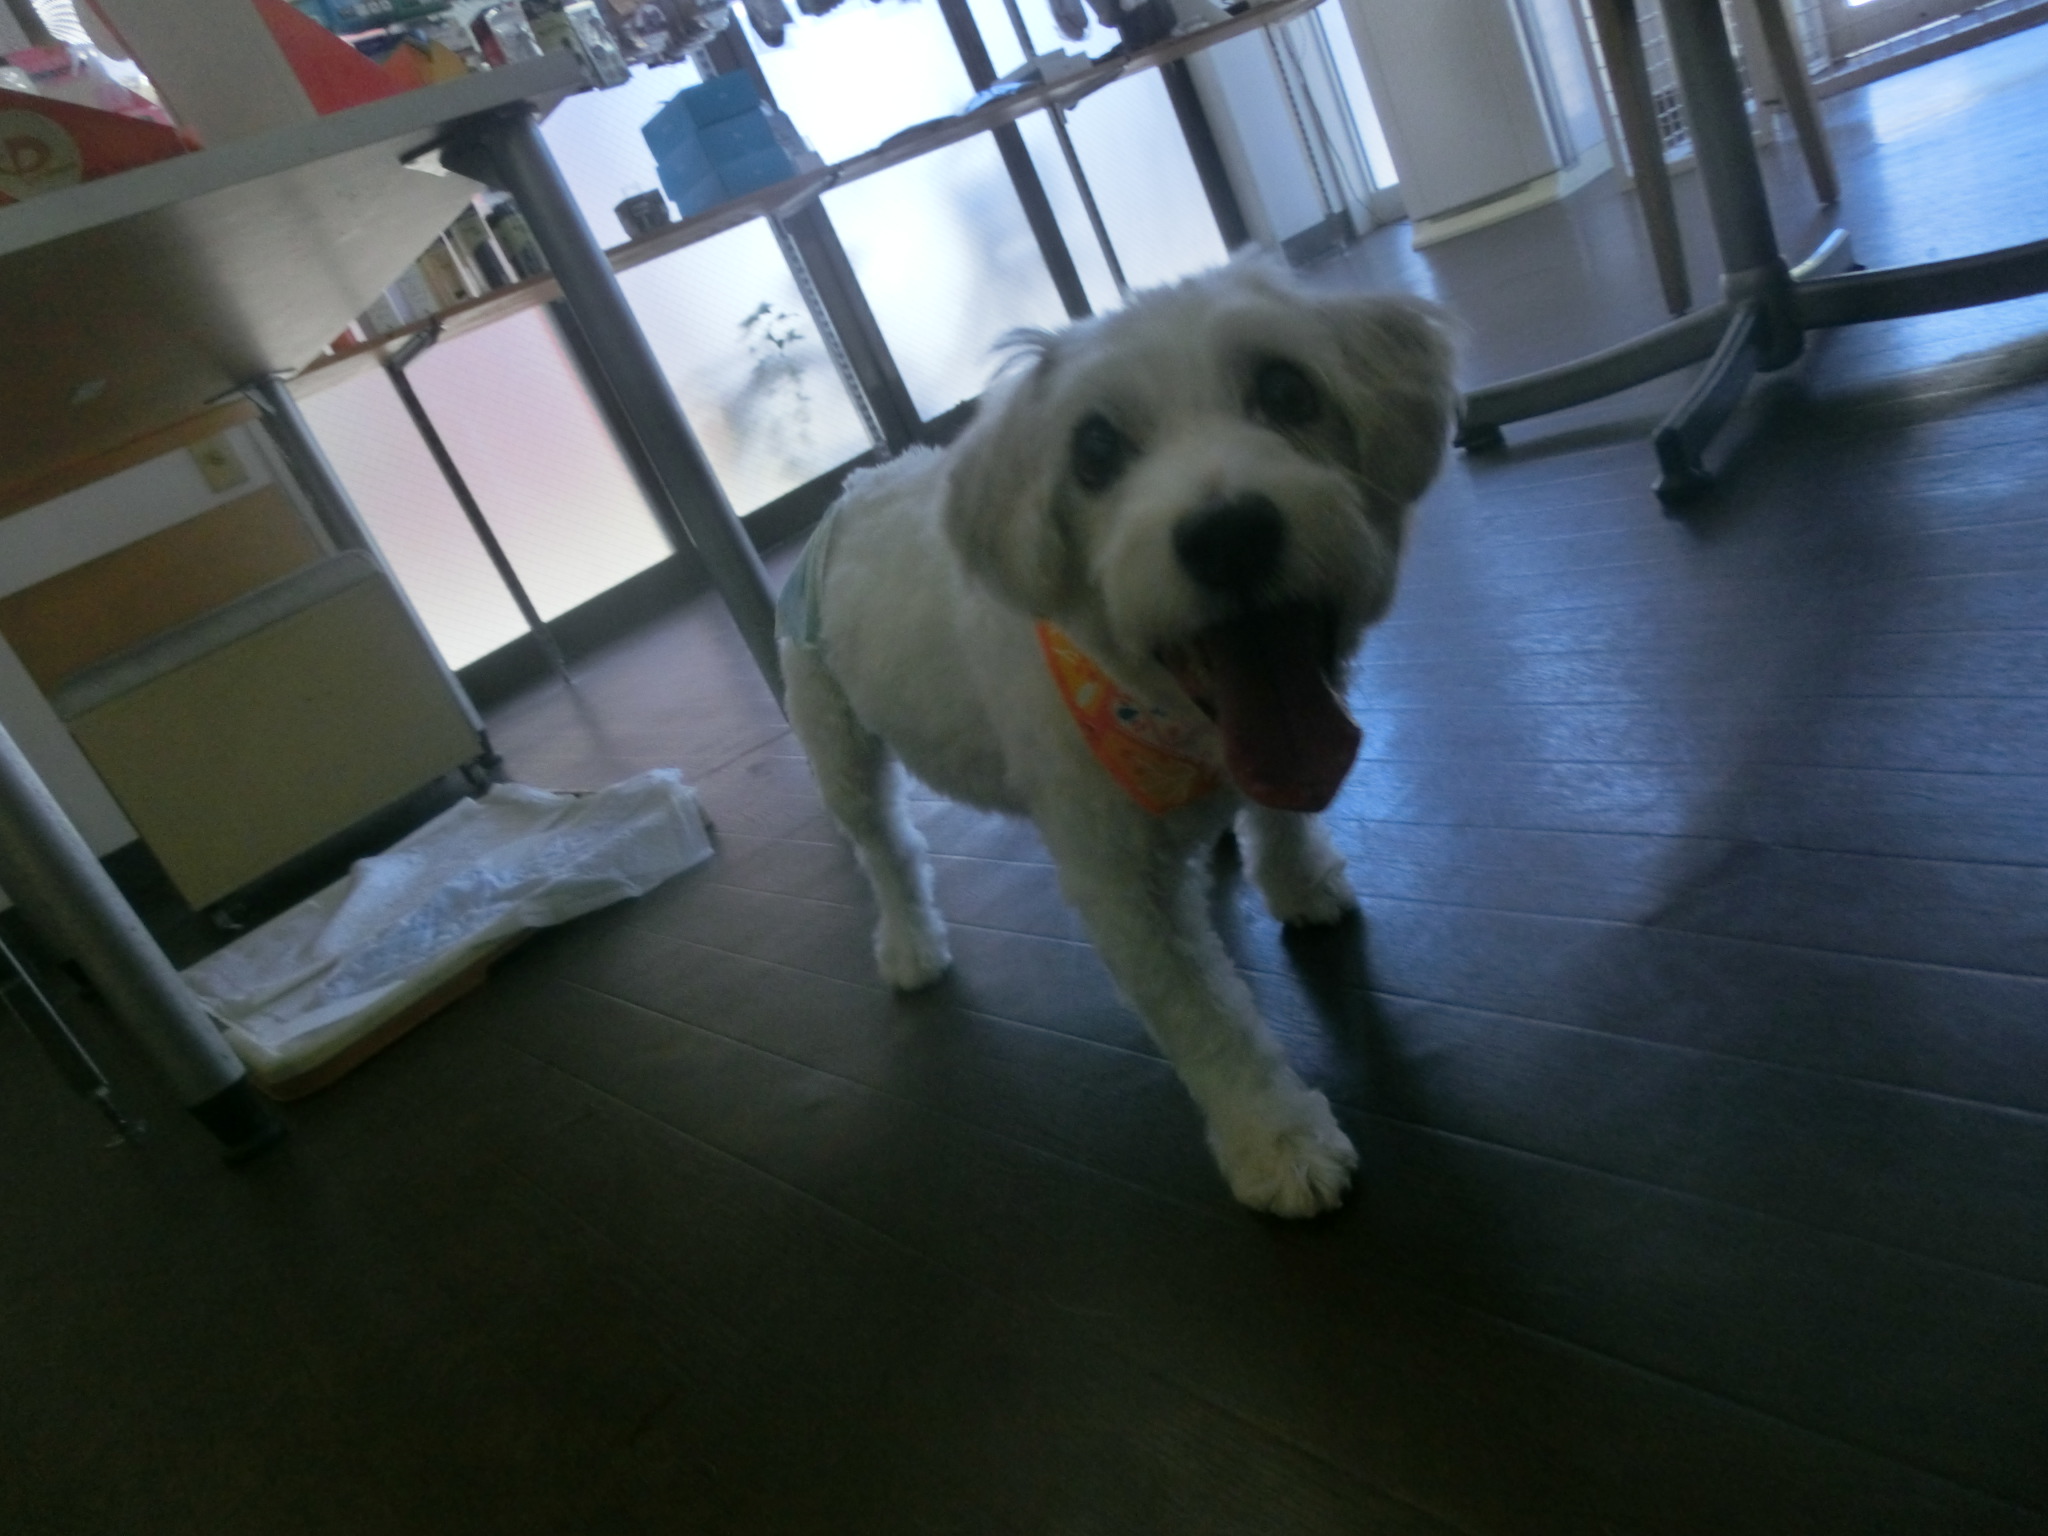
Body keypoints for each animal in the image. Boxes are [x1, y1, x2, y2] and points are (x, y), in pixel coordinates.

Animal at [778, 263, 1456, 1216]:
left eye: (1289, 389)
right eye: (1094, 449)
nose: (1230, 533)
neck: (1163, 714)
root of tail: (855, 486)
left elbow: (1280, 814)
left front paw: (1298, 880)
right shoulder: (1120, 888)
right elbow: (1207, 1022)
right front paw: (1277, 1140)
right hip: (836, 743)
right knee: (886, 848)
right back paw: (910, 945)